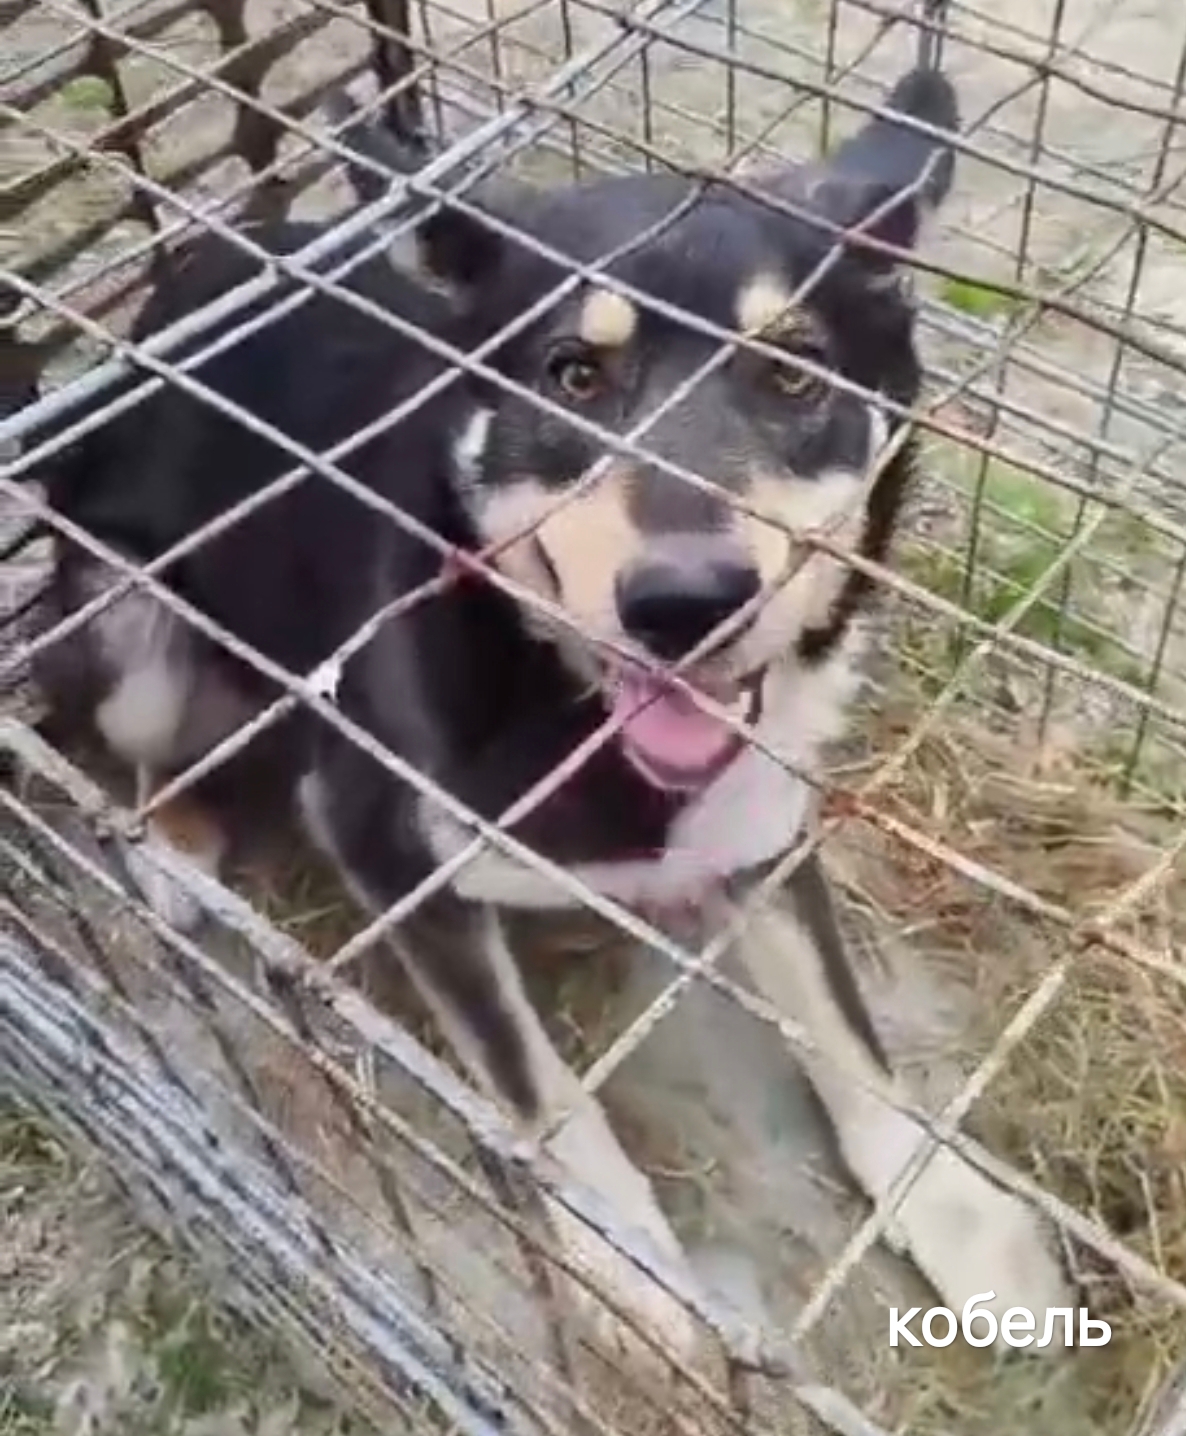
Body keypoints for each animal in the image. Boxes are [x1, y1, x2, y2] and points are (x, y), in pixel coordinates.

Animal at [13, 67, 1073, 1358]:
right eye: (573, 372)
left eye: (793, 373)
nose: (685, 603)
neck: (566, 694)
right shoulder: (389, 846)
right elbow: (542, 1091)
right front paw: (634, 1268)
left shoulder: (762, 815)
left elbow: (849, 1033)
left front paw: (962, 1220)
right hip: (135, 635)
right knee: (127, 747)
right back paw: (172, 847)